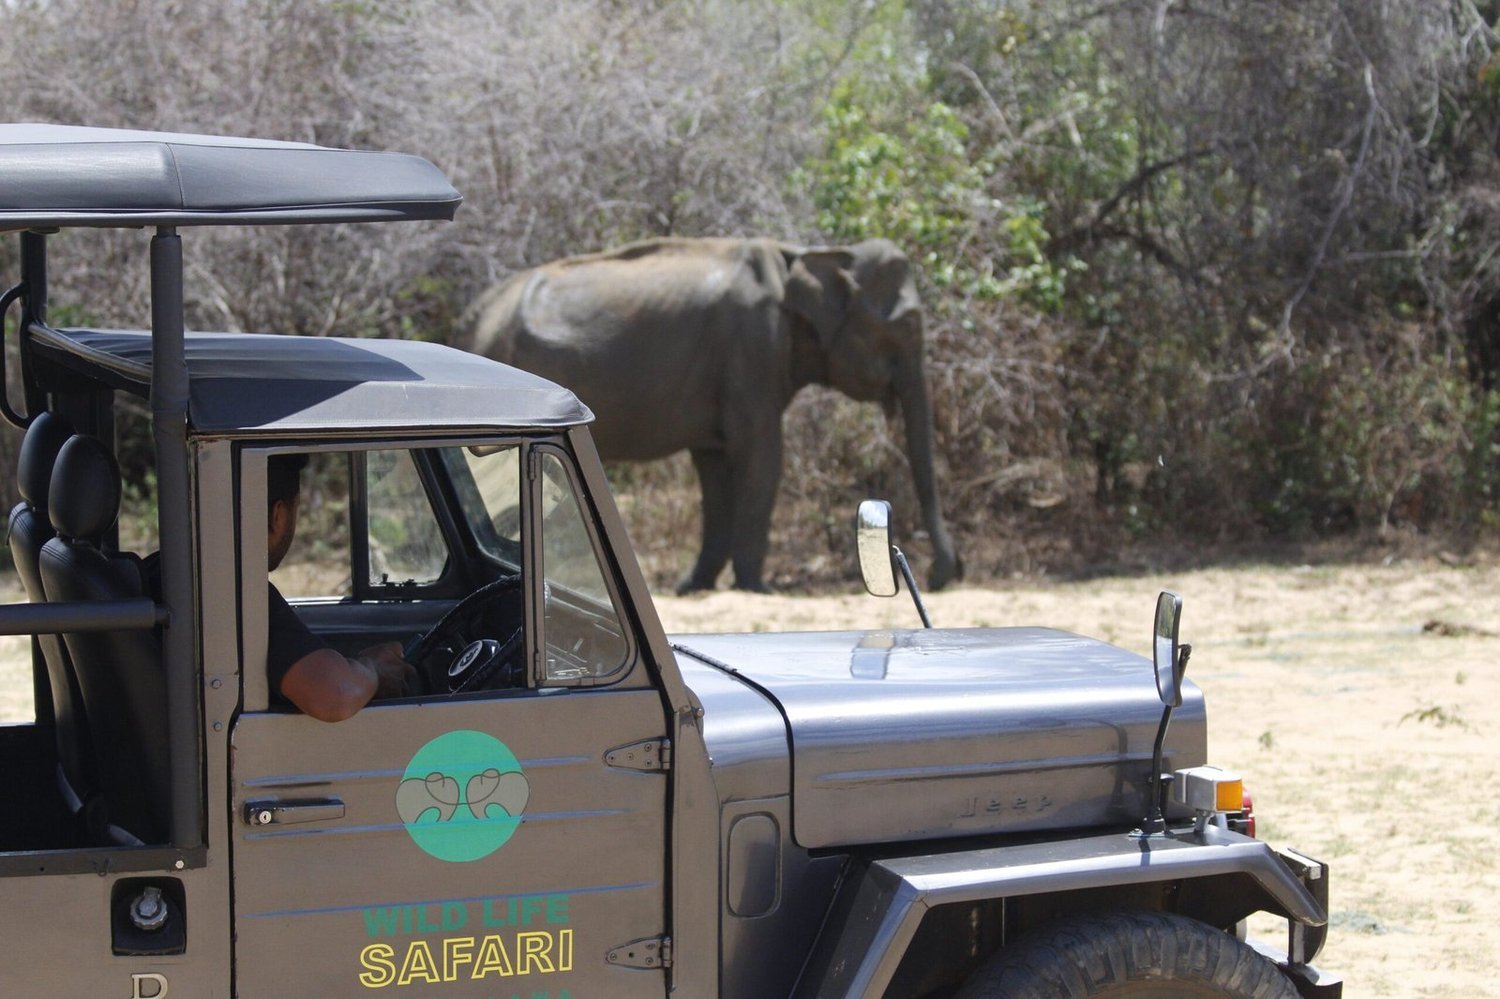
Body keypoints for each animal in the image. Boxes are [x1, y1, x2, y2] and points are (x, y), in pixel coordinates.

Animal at [467, 237, 960, 594]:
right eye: (908, 324)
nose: (945, 575)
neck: (813, 252)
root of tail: (475, 318)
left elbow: (716, 468)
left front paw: (693, 586)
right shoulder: (753, 348)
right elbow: (763, 457)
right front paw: (759, 589)